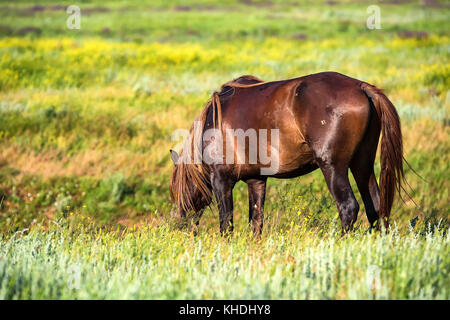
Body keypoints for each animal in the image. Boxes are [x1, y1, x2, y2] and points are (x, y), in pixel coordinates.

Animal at [168, 72, 404, 236]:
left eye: (175, 193)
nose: (178, 227)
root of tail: (361, 87)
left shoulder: (221, 180)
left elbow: (226, 223)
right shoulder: (256, 180)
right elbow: (256, 221)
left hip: (333, 168)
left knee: (348, 207)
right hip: (362, 166)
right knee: (376, 207)